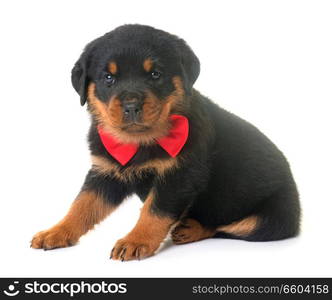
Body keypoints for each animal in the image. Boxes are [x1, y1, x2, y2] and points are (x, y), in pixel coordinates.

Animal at [31, 24, 300, 262]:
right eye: (108, 78)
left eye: (155, 74)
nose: (131, 105)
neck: (139, 140)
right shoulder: (106, 171)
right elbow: (83, 205)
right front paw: (56, 231)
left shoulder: (179, 175)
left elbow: (154, 211)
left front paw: (135, 241)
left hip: (272, 219)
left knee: (227, 227)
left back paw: (191, 229)